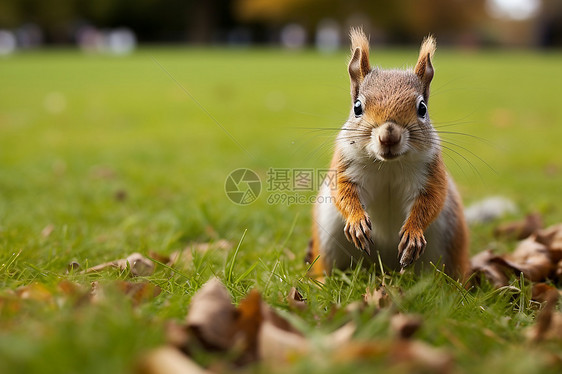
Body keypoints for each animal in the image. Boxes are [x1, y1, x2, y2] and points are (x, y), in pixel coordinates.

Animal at [306, 29, 468, 280]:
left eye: (422, 108)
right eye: (357, 107)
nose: (389, 136)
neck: (388, 165)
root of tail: (385, 267)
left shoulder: (431, 171)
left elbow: (431, 199)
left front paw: (413, 232)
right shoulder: (345, 165)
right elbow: (343, 191)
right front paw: (357, 221)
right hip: (329, 238)